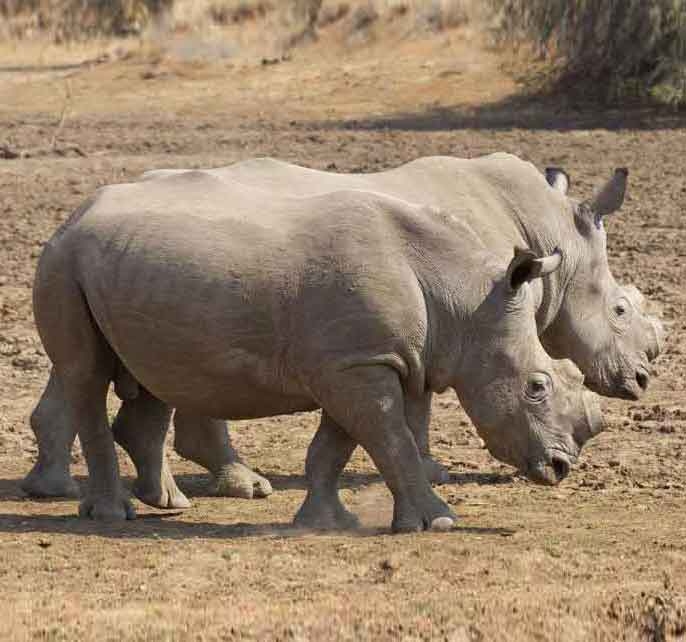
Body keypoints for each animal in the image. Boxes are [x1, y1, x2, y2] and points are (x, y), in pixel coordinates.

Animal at [22, 154, 663, 508]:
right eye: (621, 310)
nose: (640, 380)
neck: (552, 233)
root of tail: (77, 213)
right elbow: (417, 406)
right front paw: (431, 472)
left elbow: (415, 398)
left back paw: (53, 486)